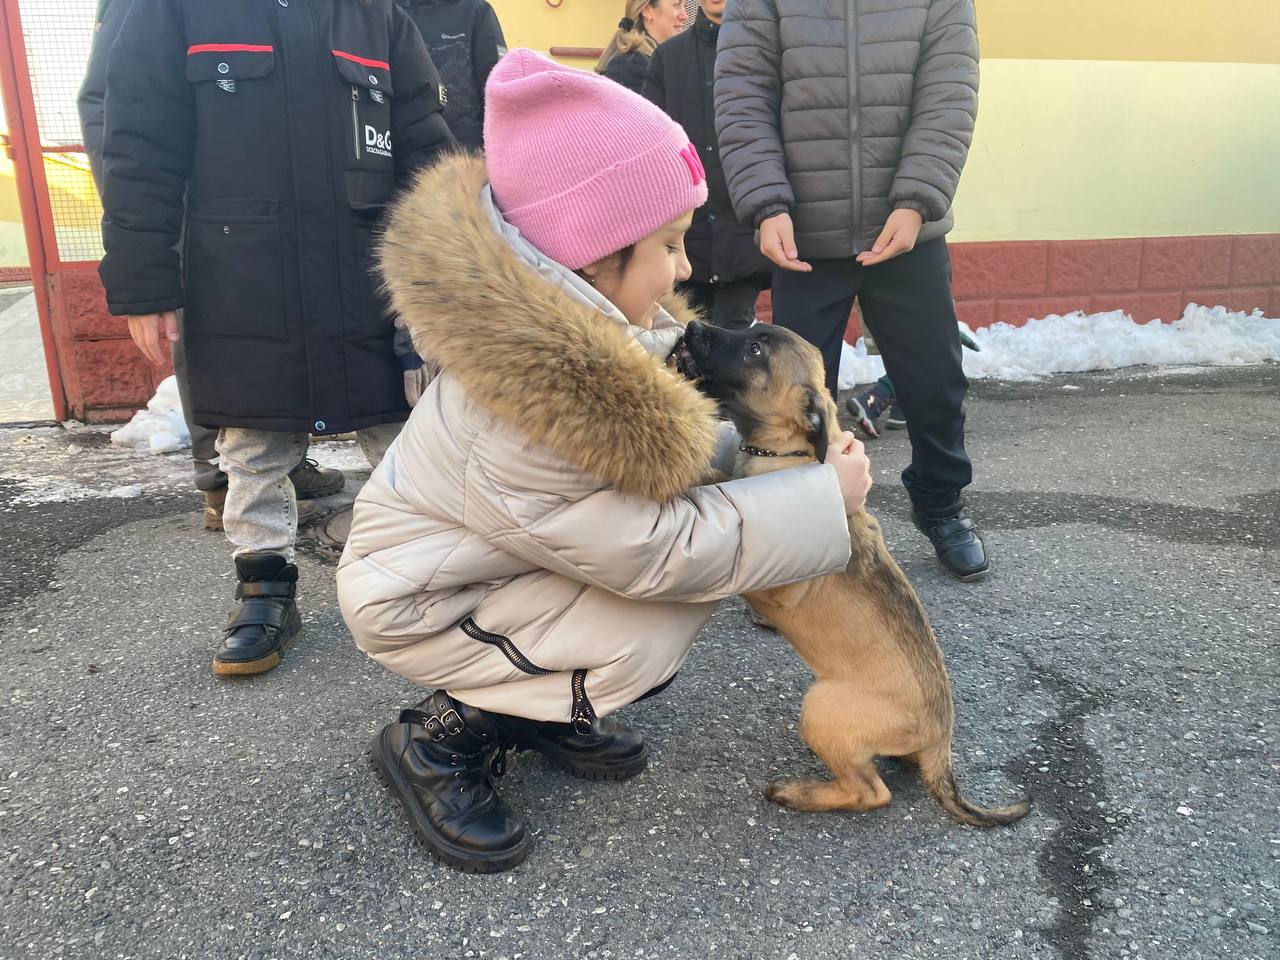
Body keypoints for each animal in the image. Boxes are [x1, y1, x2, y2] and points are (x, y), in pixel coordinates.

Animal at [680, 321, 1029, 829]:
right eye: (749, 330)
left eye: (755, 350)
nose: (692, 326)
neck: (787, 449)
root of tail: (941, 744)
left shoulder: (776, 579)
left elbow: (724, 492)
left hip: (821, 707)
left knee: (869, 792)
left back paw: (798, 792)